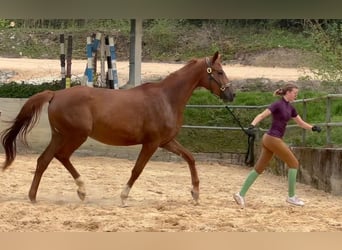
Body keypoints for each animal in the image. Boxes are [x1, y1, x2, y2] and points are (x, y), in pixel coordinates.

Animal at [0, 50, 235, 205]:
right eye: (219, 72)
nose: (232, 94)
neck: (166, 98)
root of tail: (55, 94)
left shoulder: (166, 142)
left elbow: (190, 158)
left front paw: (195, 194)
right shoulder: (151, 143)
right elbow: (137, 170)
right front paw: (123, 197)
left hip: (59, 136)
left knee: (44, 160)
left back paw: (34, 197)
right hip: (76, 136)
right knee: (61, 156)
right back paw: (81, 190)